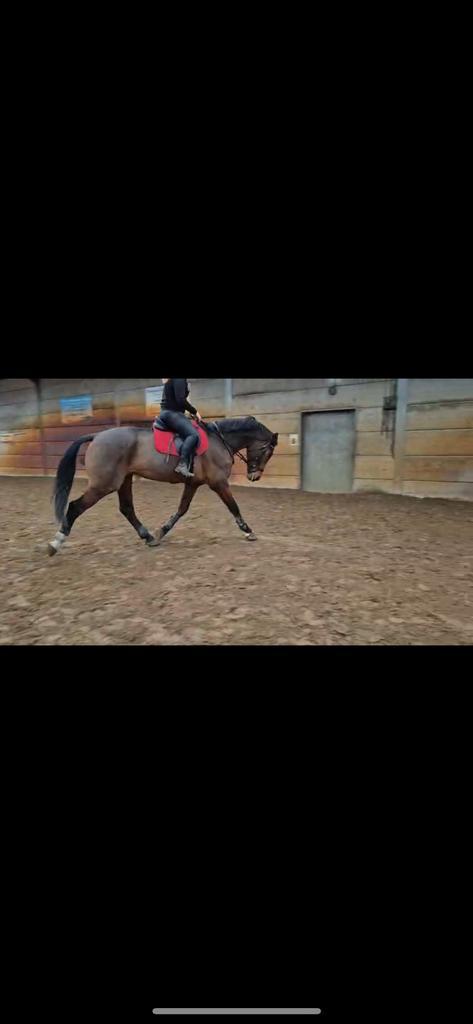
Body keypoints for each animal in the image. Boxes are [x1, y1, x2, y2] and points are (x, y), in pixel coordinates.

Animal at [48, 417, 279, 556]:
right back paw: (55, 543)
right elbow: (233, 506)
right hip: (104, 485)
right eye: (268, 451)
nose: (255, 476)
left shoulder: (193, 483)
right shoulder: (218, 483)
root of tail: (96, 436)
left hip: (124, 480)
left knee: (127, 509)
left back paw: (149, 537)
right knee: (75, 507)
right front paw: (248, 531)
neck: (219, 441)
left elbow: (182, 509)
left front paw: (161, 531)